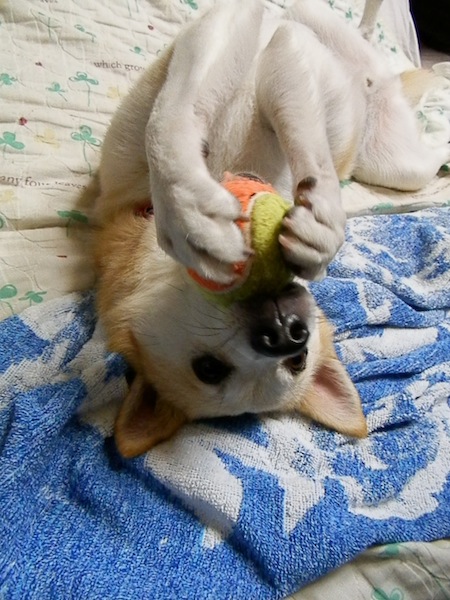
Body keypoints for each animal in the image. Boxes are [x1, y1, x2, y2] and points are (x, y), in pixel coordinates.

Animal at [93, 0, 449, 458]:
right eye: (209, 369)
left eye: (298, 360)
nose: (286, 335)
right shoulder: (258, 52)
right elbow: (181, 114)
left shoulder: (239, 36)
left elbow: (172, 119)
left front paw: (187, 209)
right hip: (394, 160)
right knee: (425, 144)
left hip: (381, 141)